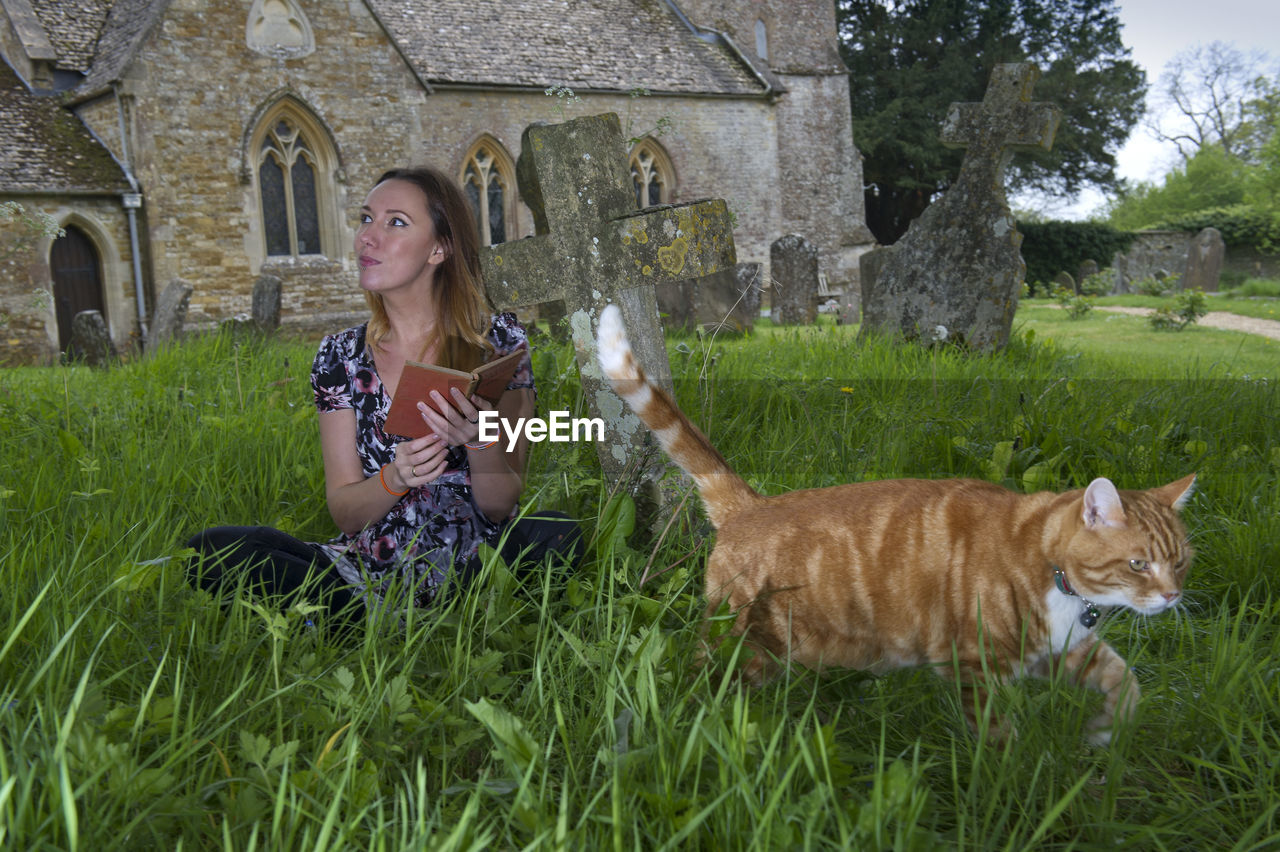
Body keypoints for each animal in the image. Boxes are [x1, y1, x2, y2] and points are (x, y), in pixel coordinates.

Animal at [593, 303, 1192, 736]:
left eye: (1180, 563)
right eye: (1139, 564)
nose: (1172, 596)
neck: (1053, 571)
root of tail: (751, 504)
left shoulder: (1062, 649)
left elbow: (1123, 679)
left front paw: (1108, 731)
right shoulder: (978, 665)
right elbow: (998, 741)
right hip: (740, 639)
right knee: (701, 678)